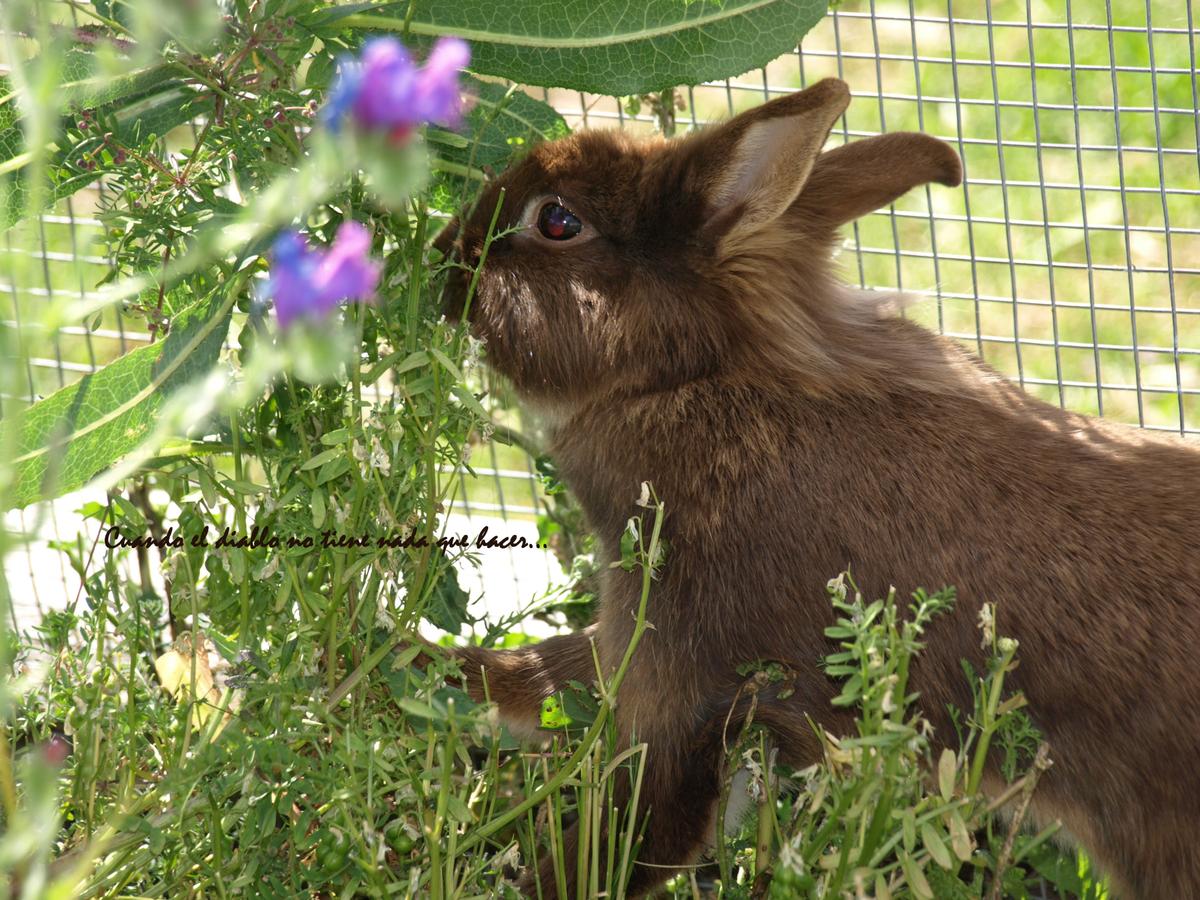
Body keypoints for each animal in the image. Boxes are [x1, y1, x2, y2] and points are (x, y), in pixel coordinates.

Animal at [433, 77, 1200, 899]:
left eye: (557, 220)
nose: (445, 262)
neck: (690, 381)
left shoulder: (676, 669)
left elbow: (638, 821)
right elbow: (546, 673)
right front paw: (424, 664)